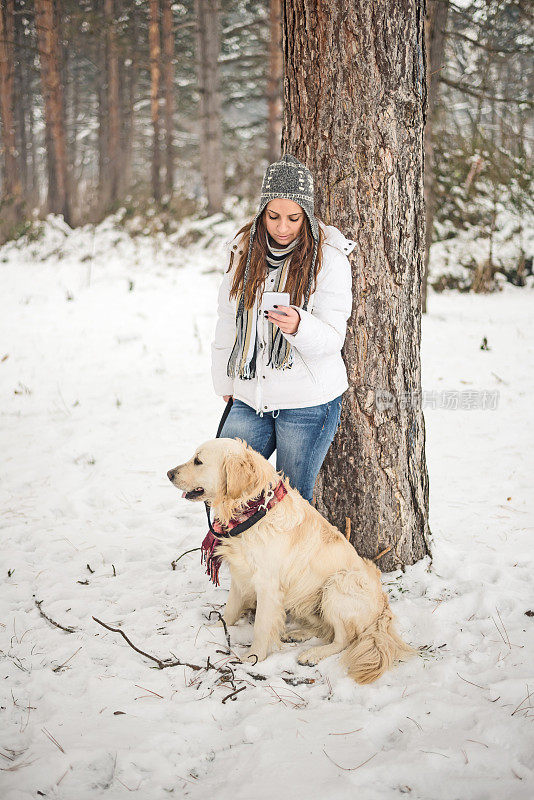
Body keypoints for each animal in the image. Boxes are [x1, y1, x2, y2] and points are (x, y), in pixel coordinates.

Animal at [168, 434, 414, 684]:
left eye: (198, 461)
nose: (169, 473)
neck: (254, 511)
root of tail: (383, 606)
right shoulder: (241, 574)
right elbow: (230, 610)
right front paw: (217, 626)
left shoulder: (268, 586)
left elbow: (261, 626)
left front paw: (253, 657)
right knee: (326, 630)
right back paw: (298, 634)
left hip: (338, 585)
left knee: (343, 640)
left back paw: (313, 654)